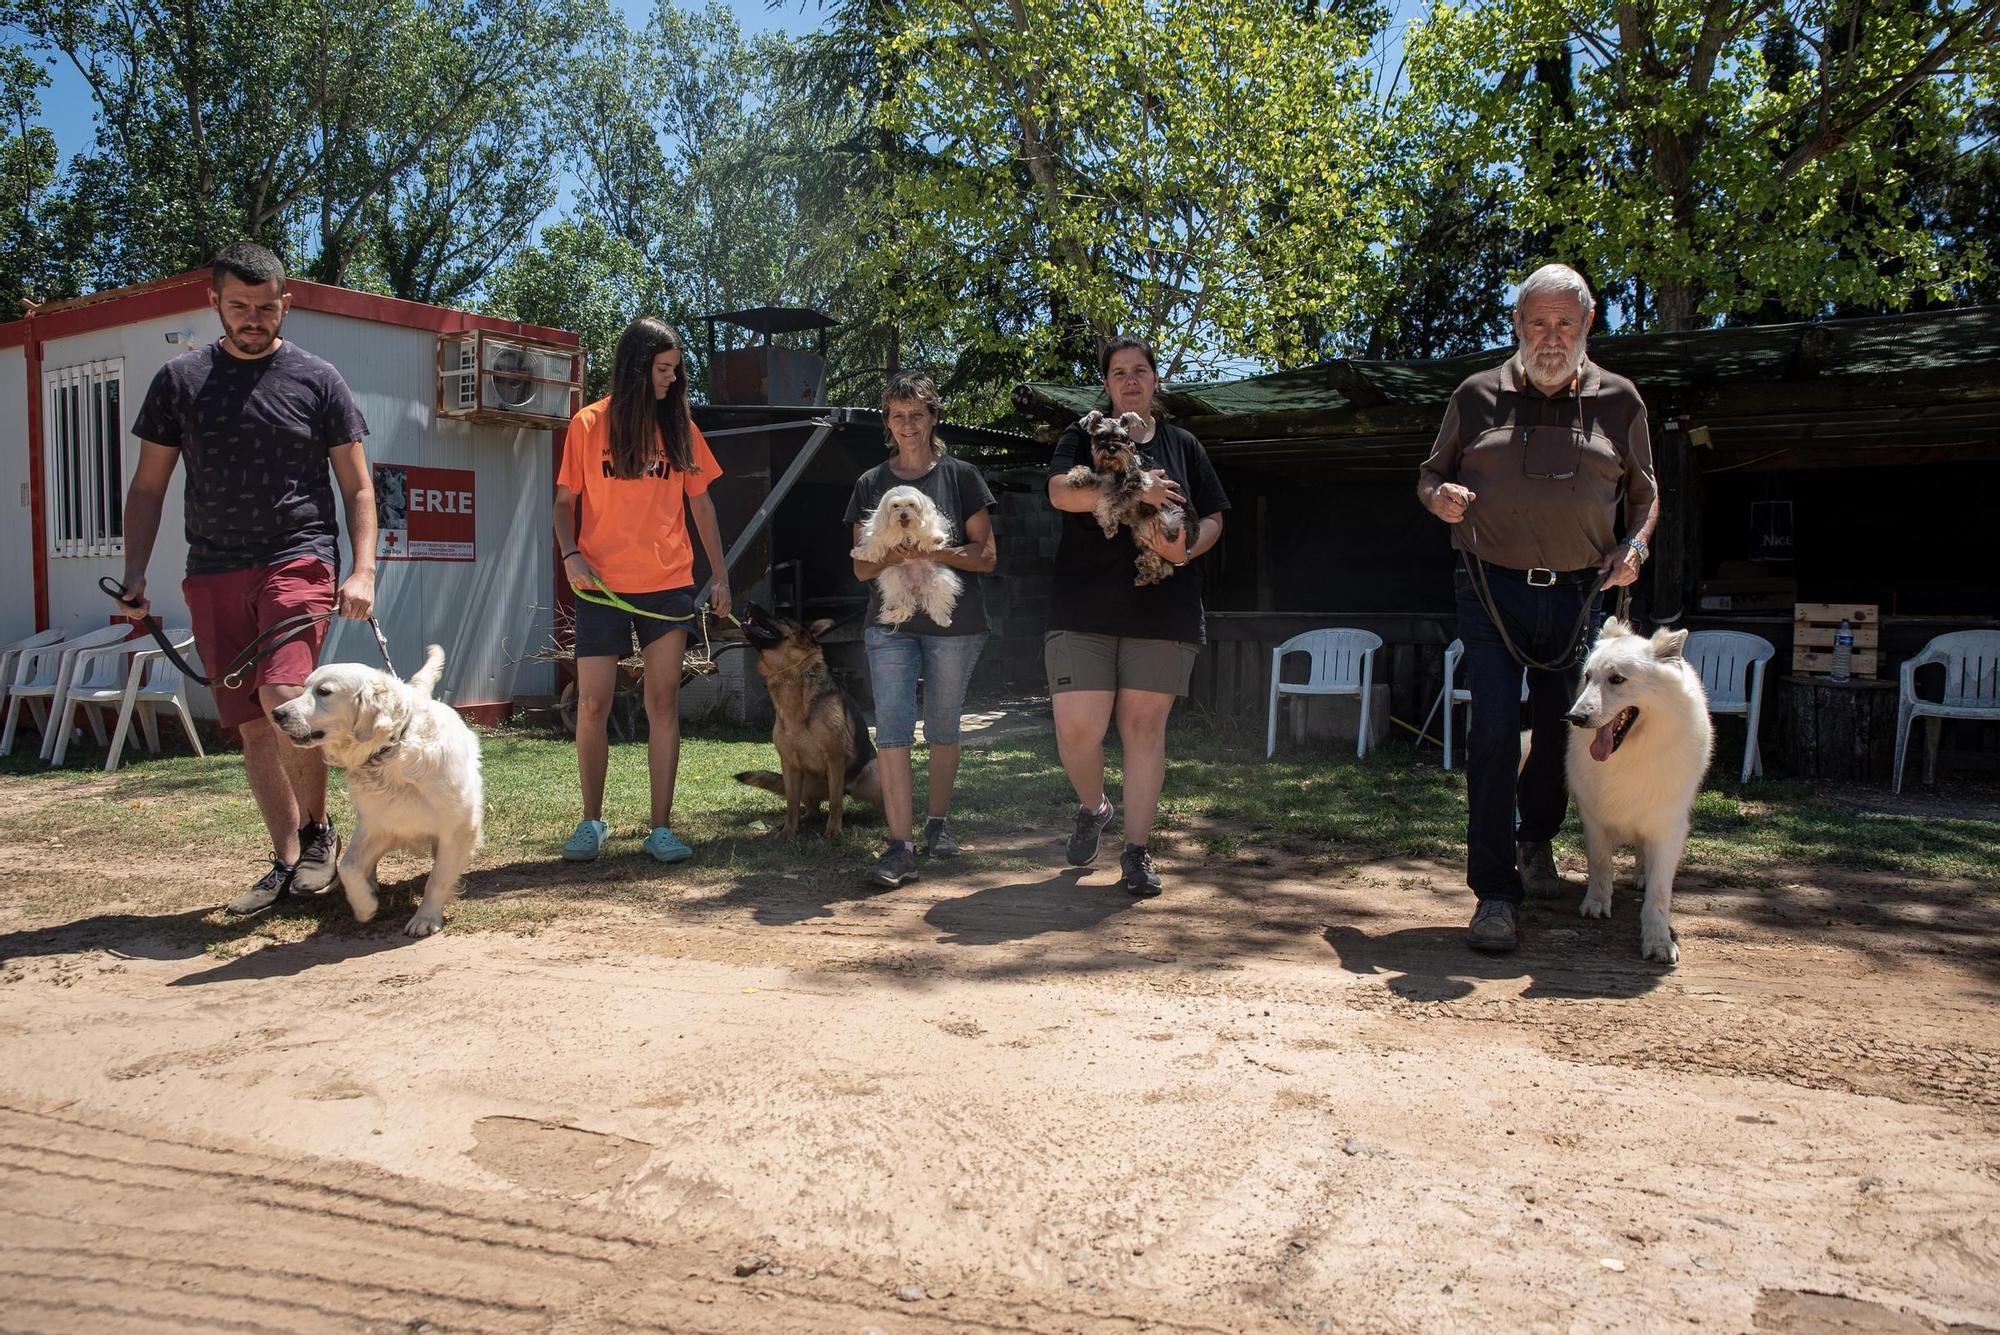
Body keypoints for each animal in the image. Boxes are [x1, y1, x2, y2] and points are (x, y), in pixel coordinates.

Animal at [270, 647, 484, 939]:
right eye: (304, 688)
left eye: (323, 691)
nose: (276, 713)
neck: (392, 748)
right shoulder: (378, 823)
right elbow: (348, 867)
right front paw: (365, 906)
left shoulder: (459, 826)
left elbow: (438, 878)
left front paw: (425, 917)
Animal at [736, 603, 884, 835]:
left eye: (782, 617)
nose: (749, 603)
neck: (791, 679)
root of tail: (849, 790)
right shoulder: (789, 765)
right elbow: (791, 804)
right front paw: (788, 833)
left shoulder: (835, 759)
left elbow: (835, 803)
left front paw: (833, 832)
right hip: (807, 781)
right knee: (812, 810)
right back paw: (800, 821)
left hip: (872, 772)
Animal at [852, 487, 960, 627]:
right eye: (895, 505)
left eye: (911, 504)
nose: (903, 515)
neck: (905, 531)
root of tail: (916, 587)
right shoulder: (882, 536)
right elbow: (874, 545)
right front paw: (859, 553)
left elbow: (926, 536)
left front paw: (935, 539)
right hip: (892, 574)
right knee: (899, 594)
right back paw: (894, 606)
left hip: (941, 580)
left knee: (938, 601)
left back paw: (942, 618)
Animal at [1568, 619, 1712, 963]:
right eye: (1587, 676)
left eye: (1617, 679)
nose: (1574, 717)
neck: (1630, 754)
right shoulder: (1593, 819)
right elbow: (1600, 864)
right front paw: (1597, 903)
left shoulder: (1667, 827)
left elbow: (1659, 893)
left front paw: (1659, 942)